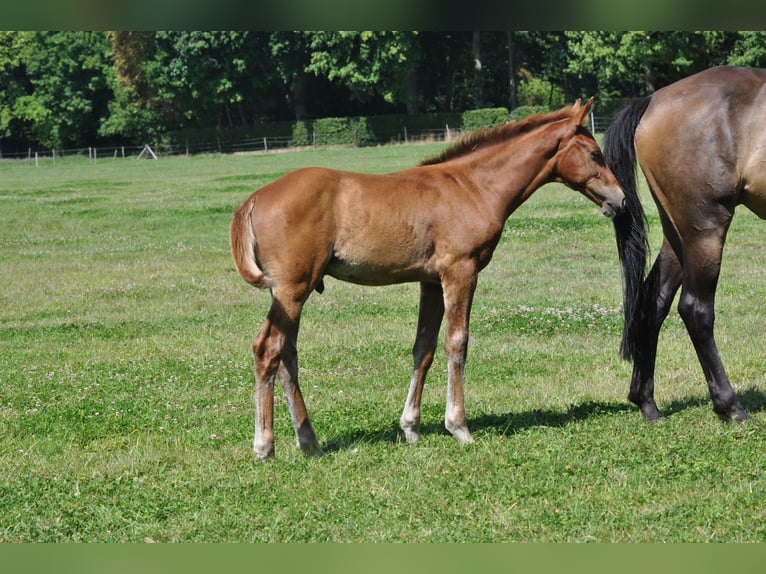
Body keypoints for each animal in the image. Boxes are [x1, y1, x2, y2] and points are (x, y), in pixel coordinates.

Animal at [231, 98, 626, 460]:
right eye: (595, 153)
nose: (621, 200)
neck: (472, 187)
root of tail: (253, 199)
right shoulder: (460, 272)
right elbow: (457, 343)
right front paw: (459, 426)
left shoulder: (431, 282)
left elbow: (424, 348)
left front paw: (411, 427)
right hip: (293, 289)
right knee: (268, 349)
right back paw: (265, 446)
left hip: (288, 292)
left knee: (287, 355)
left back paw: (309, 442)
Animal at [605, 66, 766, 423]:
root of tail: (653, 100)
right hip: (703, 230)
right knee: (695, 310)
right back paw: (730, 407)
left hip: (677, 233)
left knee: (653, 301)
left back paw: (647, 403)